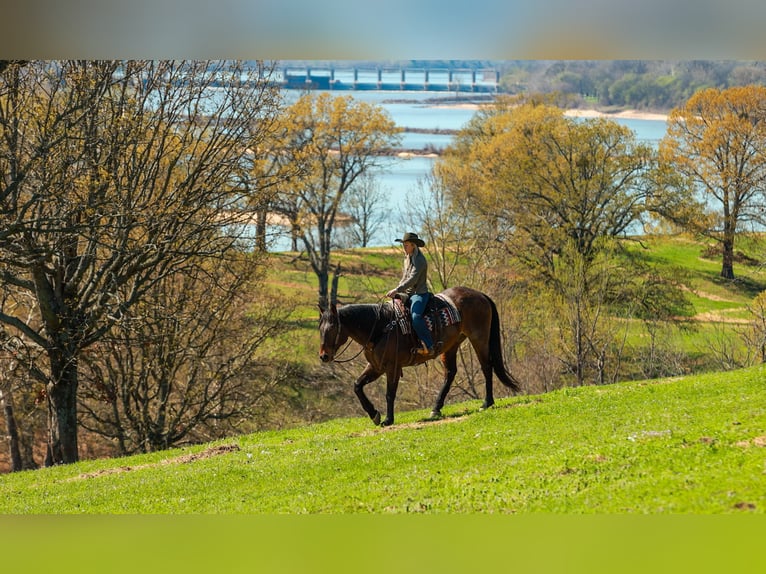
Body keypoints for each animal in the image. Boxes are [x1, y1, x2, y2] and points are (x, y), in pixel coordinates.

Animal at [318, 286, 520, 426]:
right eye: (320, 329)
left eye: (332, 328)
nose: (324, 356)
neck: (381, 327)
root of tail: (480, 295)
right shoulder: (375, 367)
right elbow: (357, 386)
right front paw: (374, 414)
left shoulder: (392, 367)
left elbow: (390, 393)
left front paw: (388, 419)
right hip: (451, 345)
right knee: (450, 373)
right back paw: (436, 409)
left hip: (478, 337)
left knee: (486, 366)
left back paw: (487, 402)